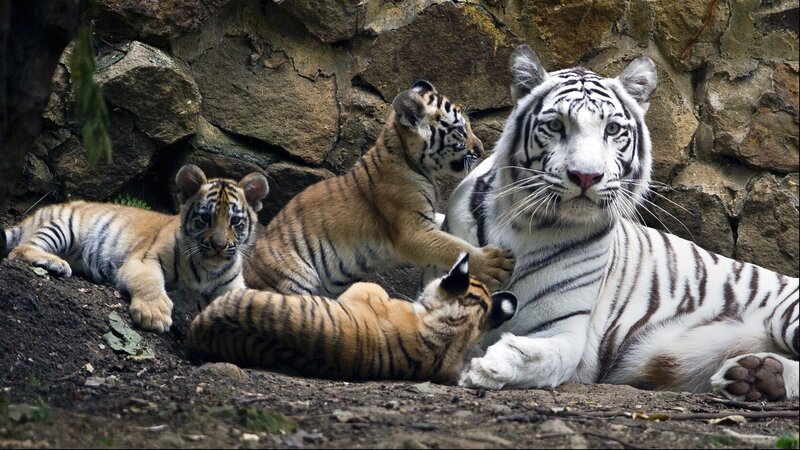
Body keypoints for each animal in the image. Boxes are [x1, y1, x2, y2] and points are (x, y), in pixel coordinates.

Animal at [3, 164, 269, 333]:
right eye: (205, 218)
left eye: (235, 221)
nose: (219, 246)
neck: (207, 268)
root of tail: (34, 214)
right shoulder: (143, 260)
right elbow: (150, 282)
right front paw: (154, 314)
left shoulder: (232, 287)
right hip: (63, 227)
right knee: (20, 249)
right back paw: (55, 263)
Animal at [243, 80, 515, 297]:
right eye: (459, 131)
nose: (481, 149)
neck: (409, 158)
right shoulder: (414, 232)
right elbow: (453, 247)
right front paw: (494, 264)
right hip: (293, 279)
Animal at [438, 44, 799, 401]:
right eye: (555, 126)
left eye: (612, 129)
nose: (586, 176)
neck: (523, 224)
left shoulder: (566, 330)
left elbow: (539, 358)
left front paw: (484, 367)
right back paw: (755, 376)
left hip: (787, 314)